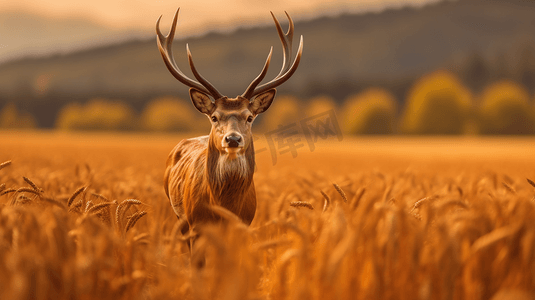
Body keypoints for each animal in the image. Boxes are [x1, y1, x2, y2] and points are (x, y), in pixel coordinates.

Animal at [157, 8, 304, 234]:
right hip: (179, 216)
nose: (233, 139)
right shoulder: (195, 224)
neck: (224, 207)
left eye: (250, 117)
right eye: (214, 117)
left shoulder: (245, 223)